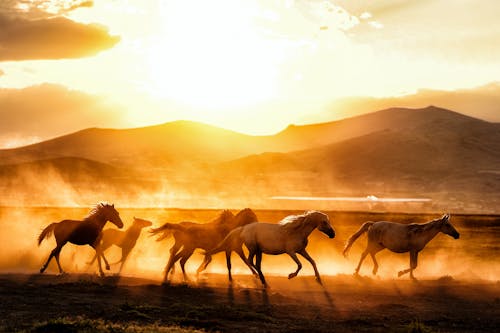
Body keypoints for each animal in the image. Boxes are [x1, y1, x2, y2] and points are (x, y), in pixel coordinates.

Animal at [205, 210, 334, 286]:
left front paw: (319, 279)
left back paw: (263, 280)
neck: (296, 232)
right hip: (253, 249)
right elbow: (300, 265)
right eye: (324, 222)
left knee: (256, 264)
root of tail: (243, 228)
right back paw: (261, 278)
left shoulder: (301, 250)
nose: (333, 234)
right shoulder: (291, 252)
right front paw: (290, 276)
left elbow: (312, 261)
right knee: (249, 261)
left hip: (259, 251)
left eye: (328, 221)